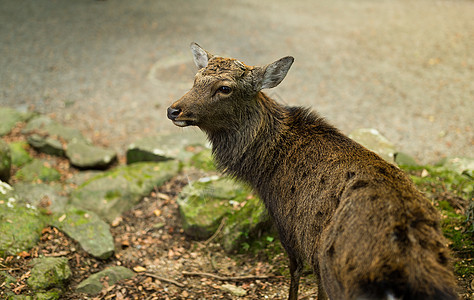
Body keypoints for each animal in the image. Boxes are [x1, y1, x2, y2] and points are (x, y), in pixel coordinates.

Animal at [167, 42, 460, 300]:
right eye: (195, 79)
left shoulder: (292, 229)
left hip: (342, 276)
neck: (266, 171)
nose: (173, 109)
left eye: (225, 88)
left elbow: (296, 274)